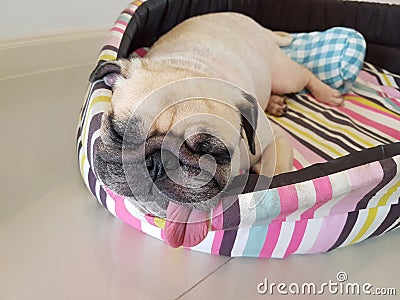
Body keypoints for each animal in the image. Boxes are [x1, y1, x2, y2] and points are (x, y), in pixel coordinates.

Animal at [90, 12, 344, 248]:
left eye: (211, 154)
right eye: (120, 134)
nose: (157, 163)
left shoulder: (277, 139)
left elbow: (275, 172)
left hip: (285, 76)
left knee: (305, 73)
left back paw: (327, 93)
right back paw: (275, 103)